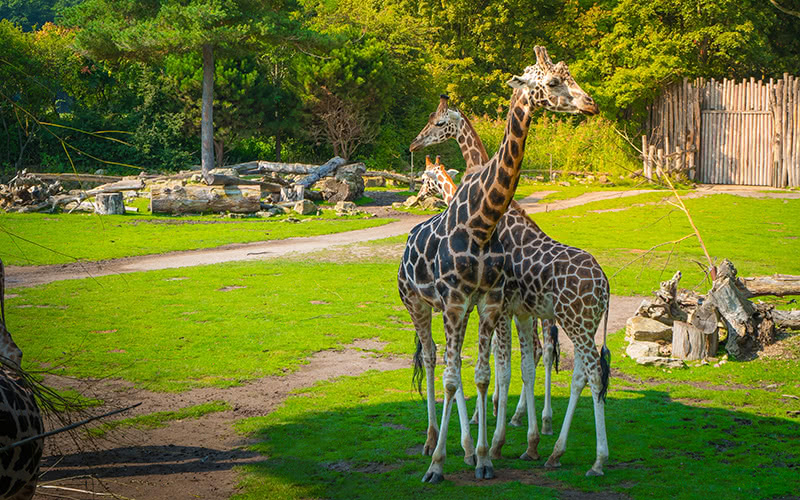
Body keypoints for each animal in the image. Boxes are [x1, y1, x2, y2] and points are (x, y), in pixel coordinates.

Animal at [400, 47, 600, 484]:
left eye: (437, 122)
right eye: (554, 81)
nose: (591, 104)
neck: (481, 221)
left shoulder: (493, 304)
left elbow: (488, 371)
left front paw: (484, 449)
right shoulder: (470, 304)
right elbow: (468, 373)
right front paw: (455, 455)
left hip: (557, 316)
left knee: (556, 360)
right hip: (420, 305)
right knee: (434, 357)